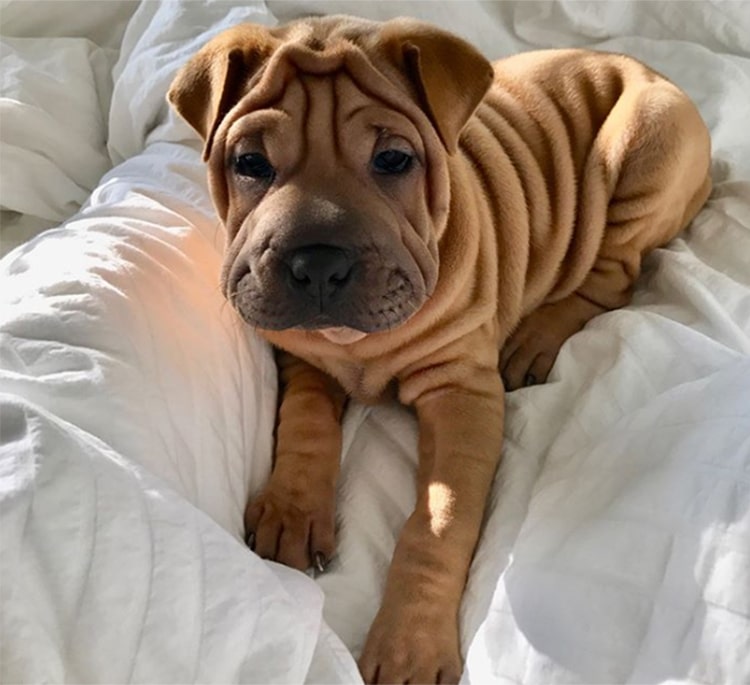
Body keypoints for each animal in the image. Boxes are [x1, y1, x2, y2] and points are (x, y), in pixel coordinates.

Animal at [167, 16, 712, 684]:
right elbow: (304, 421)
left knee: (612, 275)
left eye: (394, 159)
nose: (316, 263)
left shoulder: (462, 395)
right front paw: (293, 508)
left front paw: (410, 644)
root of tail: (648, 69)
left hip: (643, 156)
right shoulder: (301, 356)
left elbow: (440, 519)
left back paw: (536, 340)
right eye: (249, 162)